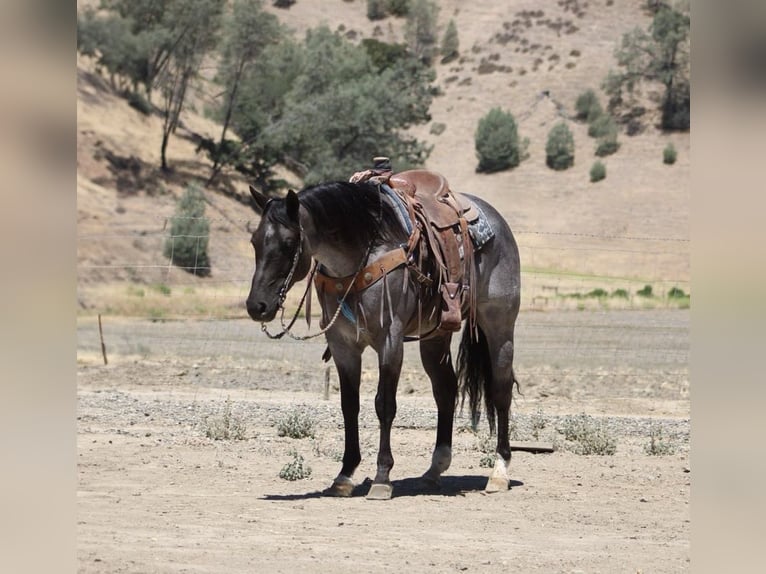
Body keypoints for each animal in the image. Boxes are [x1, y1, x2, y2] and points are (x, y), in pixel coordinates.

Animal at [246, 173, 520, 499]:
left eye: (288, 243)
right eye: (254, 241)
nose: (257, 306)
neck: (361, 253)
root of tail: (498, 221)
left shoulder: (390, 341)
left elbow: (384, 404)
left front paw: (382, 476)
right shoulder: (343, 346)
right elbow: (349, 405)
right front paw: (344, 475)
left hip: (499, 326)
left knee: (501, 390)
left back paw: (500, 471)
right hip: (436, 335)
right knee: (445, 390)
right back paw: (434, 470)